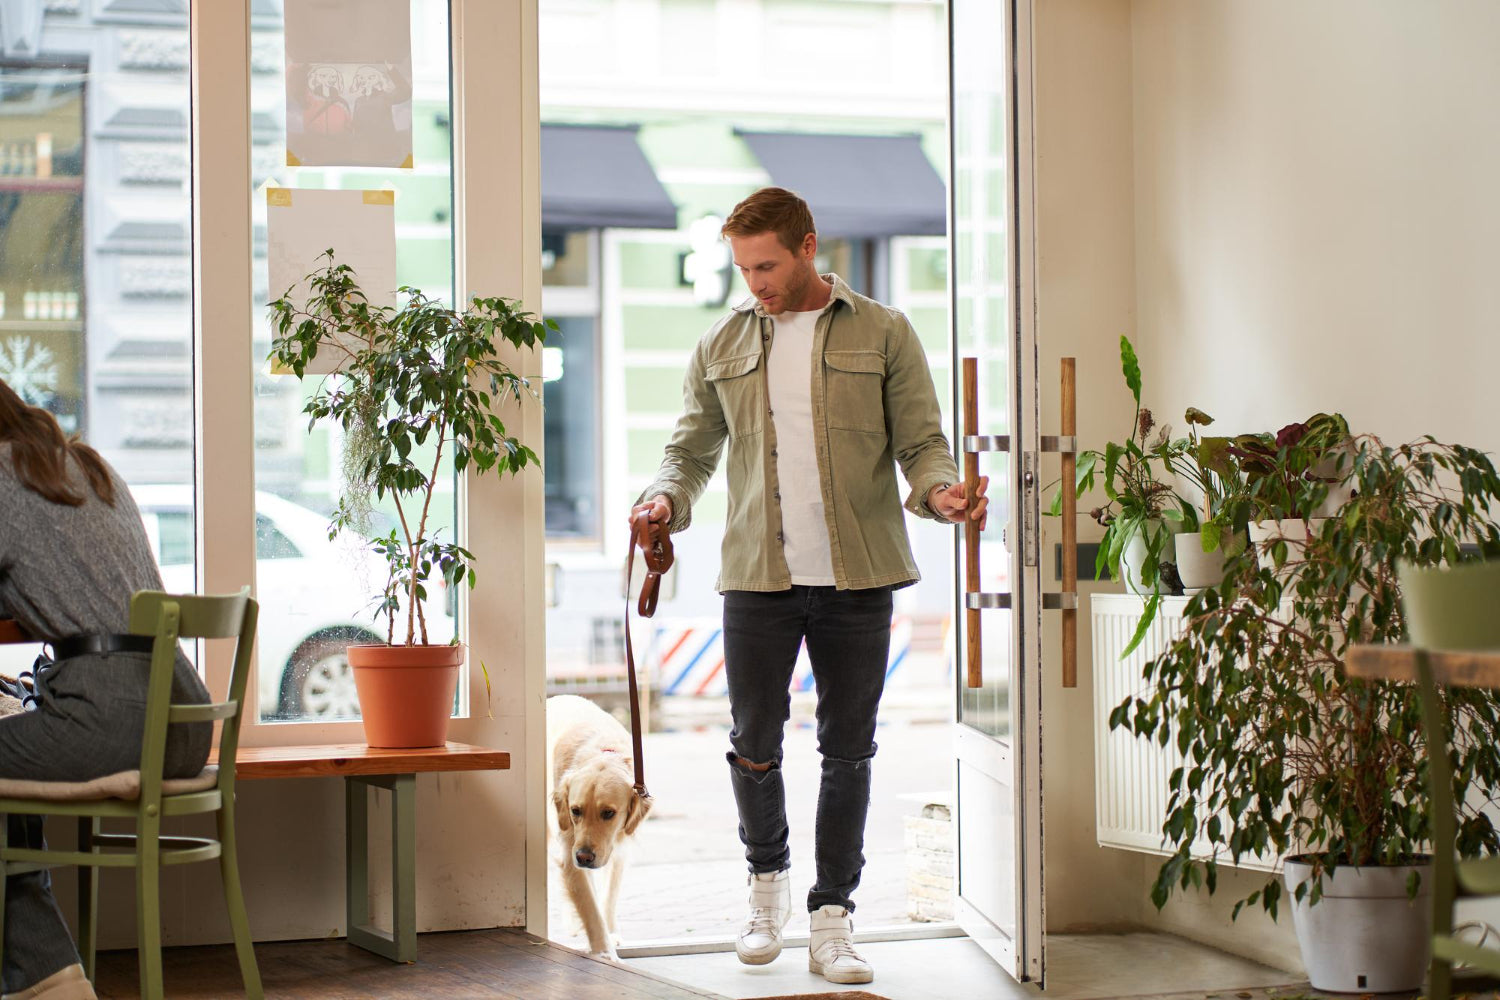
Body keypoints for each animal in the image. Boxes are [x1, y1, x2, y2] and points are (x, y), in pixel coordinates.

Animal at [546, 695, 651, 959]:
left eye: (608, 813)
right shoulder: (569, 848)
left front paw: (611, 933)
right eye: (575, 810)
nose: (584, 857)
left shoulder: (619, 850)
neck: (603, 752)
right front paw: (605, 954)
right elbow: (590, 910)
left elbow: (608, 896)